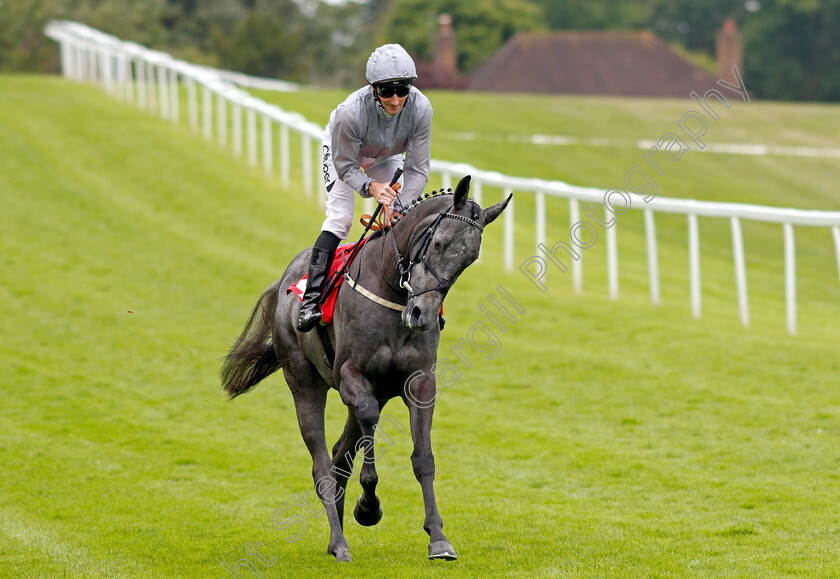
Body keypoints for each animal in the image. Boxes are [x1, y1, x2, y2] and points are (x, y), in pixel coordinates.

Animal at [221, 176, 512, 560]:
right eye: (438, 242)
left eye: (470, 258)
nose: (422, 315)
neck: (391, 290)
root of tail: (284, 280)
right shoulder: (350, 376)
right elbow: (368, 430)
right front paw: (369, 507)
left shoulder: (420, 382)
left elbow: (423, 458)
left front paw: (438, 538)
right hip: (303, 379)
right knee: (322, 463)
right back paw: (339, 542)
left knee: (339, 456)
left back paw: (338, 532)